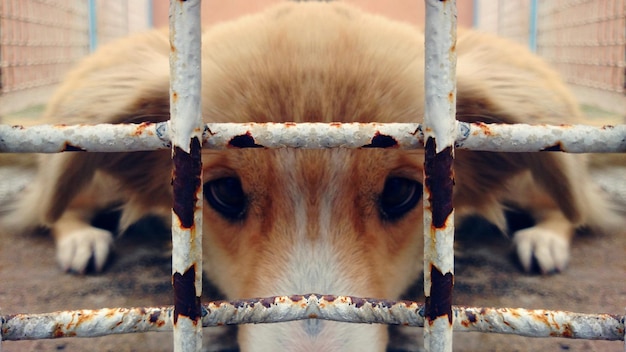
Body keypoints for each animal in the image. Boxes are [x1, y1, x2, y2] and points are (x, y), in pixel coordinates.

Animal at [3, 1, 620, 350]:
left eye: (402, 192)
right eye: (224, 192)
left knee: (569, 203)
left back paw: (543, 240)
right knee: (55, 205)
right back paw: (82, 240)